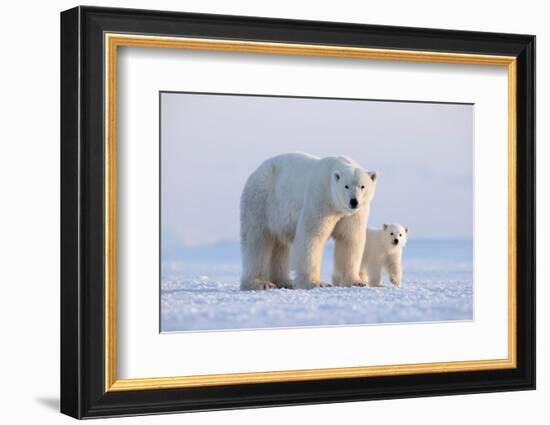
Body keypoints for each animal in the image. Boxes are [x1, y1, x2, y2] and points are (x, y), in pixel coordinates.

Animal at [242, 153, 380, 292]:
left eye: (362, 186)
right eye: (346, 186)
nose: (354, 201)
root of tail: (255, 173)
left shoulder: (352, 215)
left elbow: (350, 239)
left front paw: (357, 282)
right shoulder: (320, 199)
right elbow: (312, 236)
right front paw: (316, 283)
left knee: (280, 245)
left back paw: (284, 282)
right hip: (261, 202)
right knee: (257, 242)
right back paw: (260, 283)